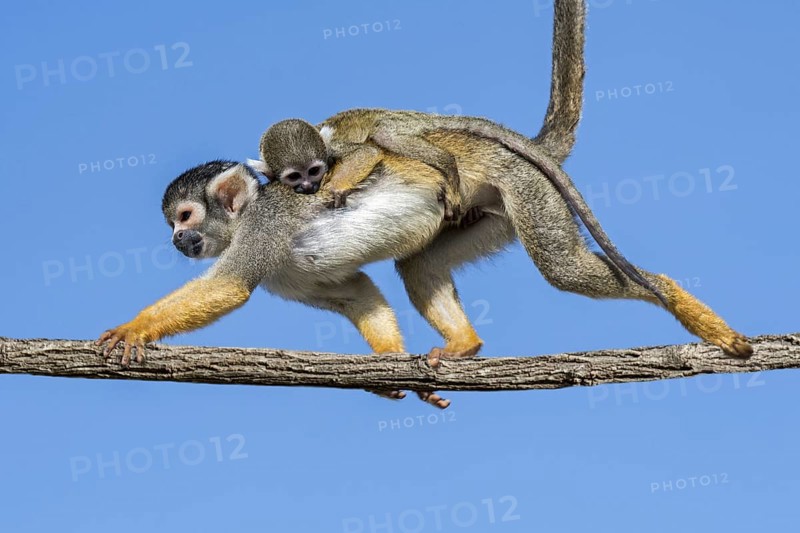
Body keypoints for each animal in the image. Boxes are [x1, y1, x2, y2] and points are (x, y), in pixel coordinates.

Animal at [97, 0, 752, 411]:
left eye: (186, 219)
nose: (177, 241)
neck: (243, 221)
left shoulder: (265, 225)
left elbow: (229, 287)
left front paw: (132, 329)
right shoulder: (287, 270)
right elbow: (355, 293)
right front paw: (391, 366)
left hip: (524, 189)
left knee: (563, 267)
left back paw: (677, 299)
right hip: (484, 213)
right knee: (419, 262)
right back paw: (465, 345)